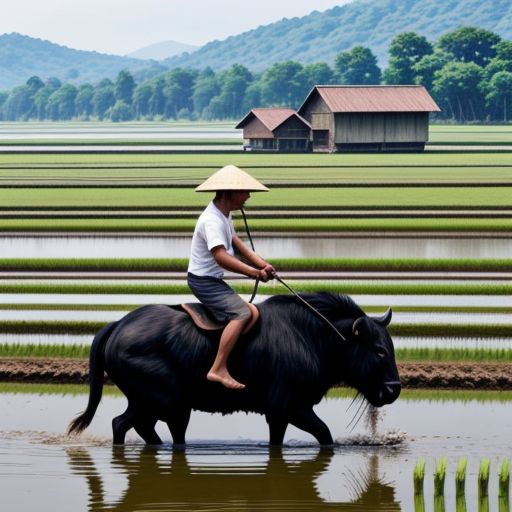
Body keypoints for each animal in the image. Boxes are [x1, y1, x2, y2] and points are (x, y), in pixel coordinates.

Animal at [69, 294, 400, 446]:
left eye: (391, 347)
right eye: (379, 350)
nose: (393, 389)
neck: (312, 337)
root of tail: (118, 325)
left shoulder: (284, 413)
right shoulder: (288, 408)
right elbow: (324, 435)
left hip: (155, 404)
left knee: (139, 427)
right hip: (164, 403)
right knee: (124, 424)